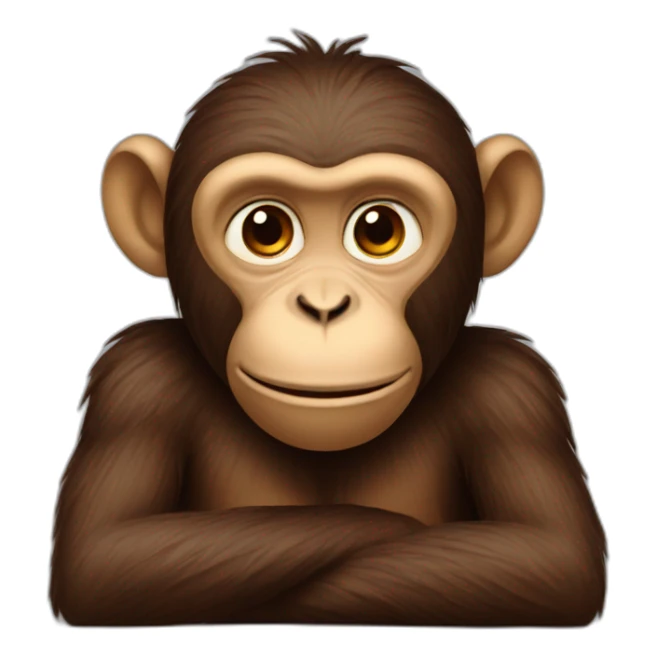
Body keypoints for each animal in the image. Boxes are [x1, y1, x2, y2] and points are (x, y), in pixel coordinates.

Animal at [51, 32, 606, 626]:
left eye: (380, 230)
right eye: (264, 229)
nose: (323, 304)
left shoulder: (514, 389)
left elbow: (550, 555)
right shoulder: (136, 381)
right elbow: (106, 555)